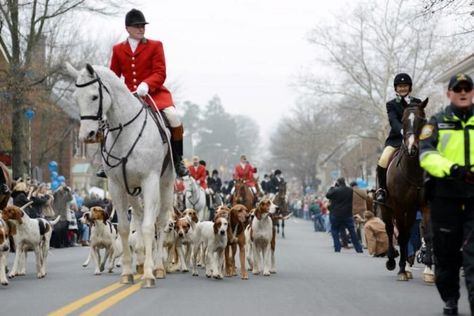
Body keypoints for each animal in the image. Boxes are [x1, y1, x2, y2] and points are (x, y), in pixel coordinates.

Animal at [66, 63, 174, 288]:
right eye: (75, 97)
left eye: (94, 97)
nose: (87, 135)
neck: (126, 131)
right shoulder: (117, 185)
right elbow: (124, 227)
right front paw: (127, 273)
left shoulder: (150, 181)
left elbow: (150, 227)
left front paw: (149, 274)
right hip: (132, 189)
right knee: (139, 217)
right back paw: (140, 261)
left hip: (165, 185)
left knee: (159, 222)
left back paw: (159, 267)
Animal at [380, 97, 432, 280]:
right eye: (402, 120)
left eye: (422, 120)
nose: (411, 149)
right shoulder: (400, 206)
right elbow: (401, 236)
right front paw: (402, 269)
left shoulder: (424, 205)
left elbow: (427, 234)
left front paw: (429, 270)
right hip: (388, 208)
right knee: (390, 230)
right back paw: (392, 261)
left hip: (409, 210)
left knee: (408, 233)